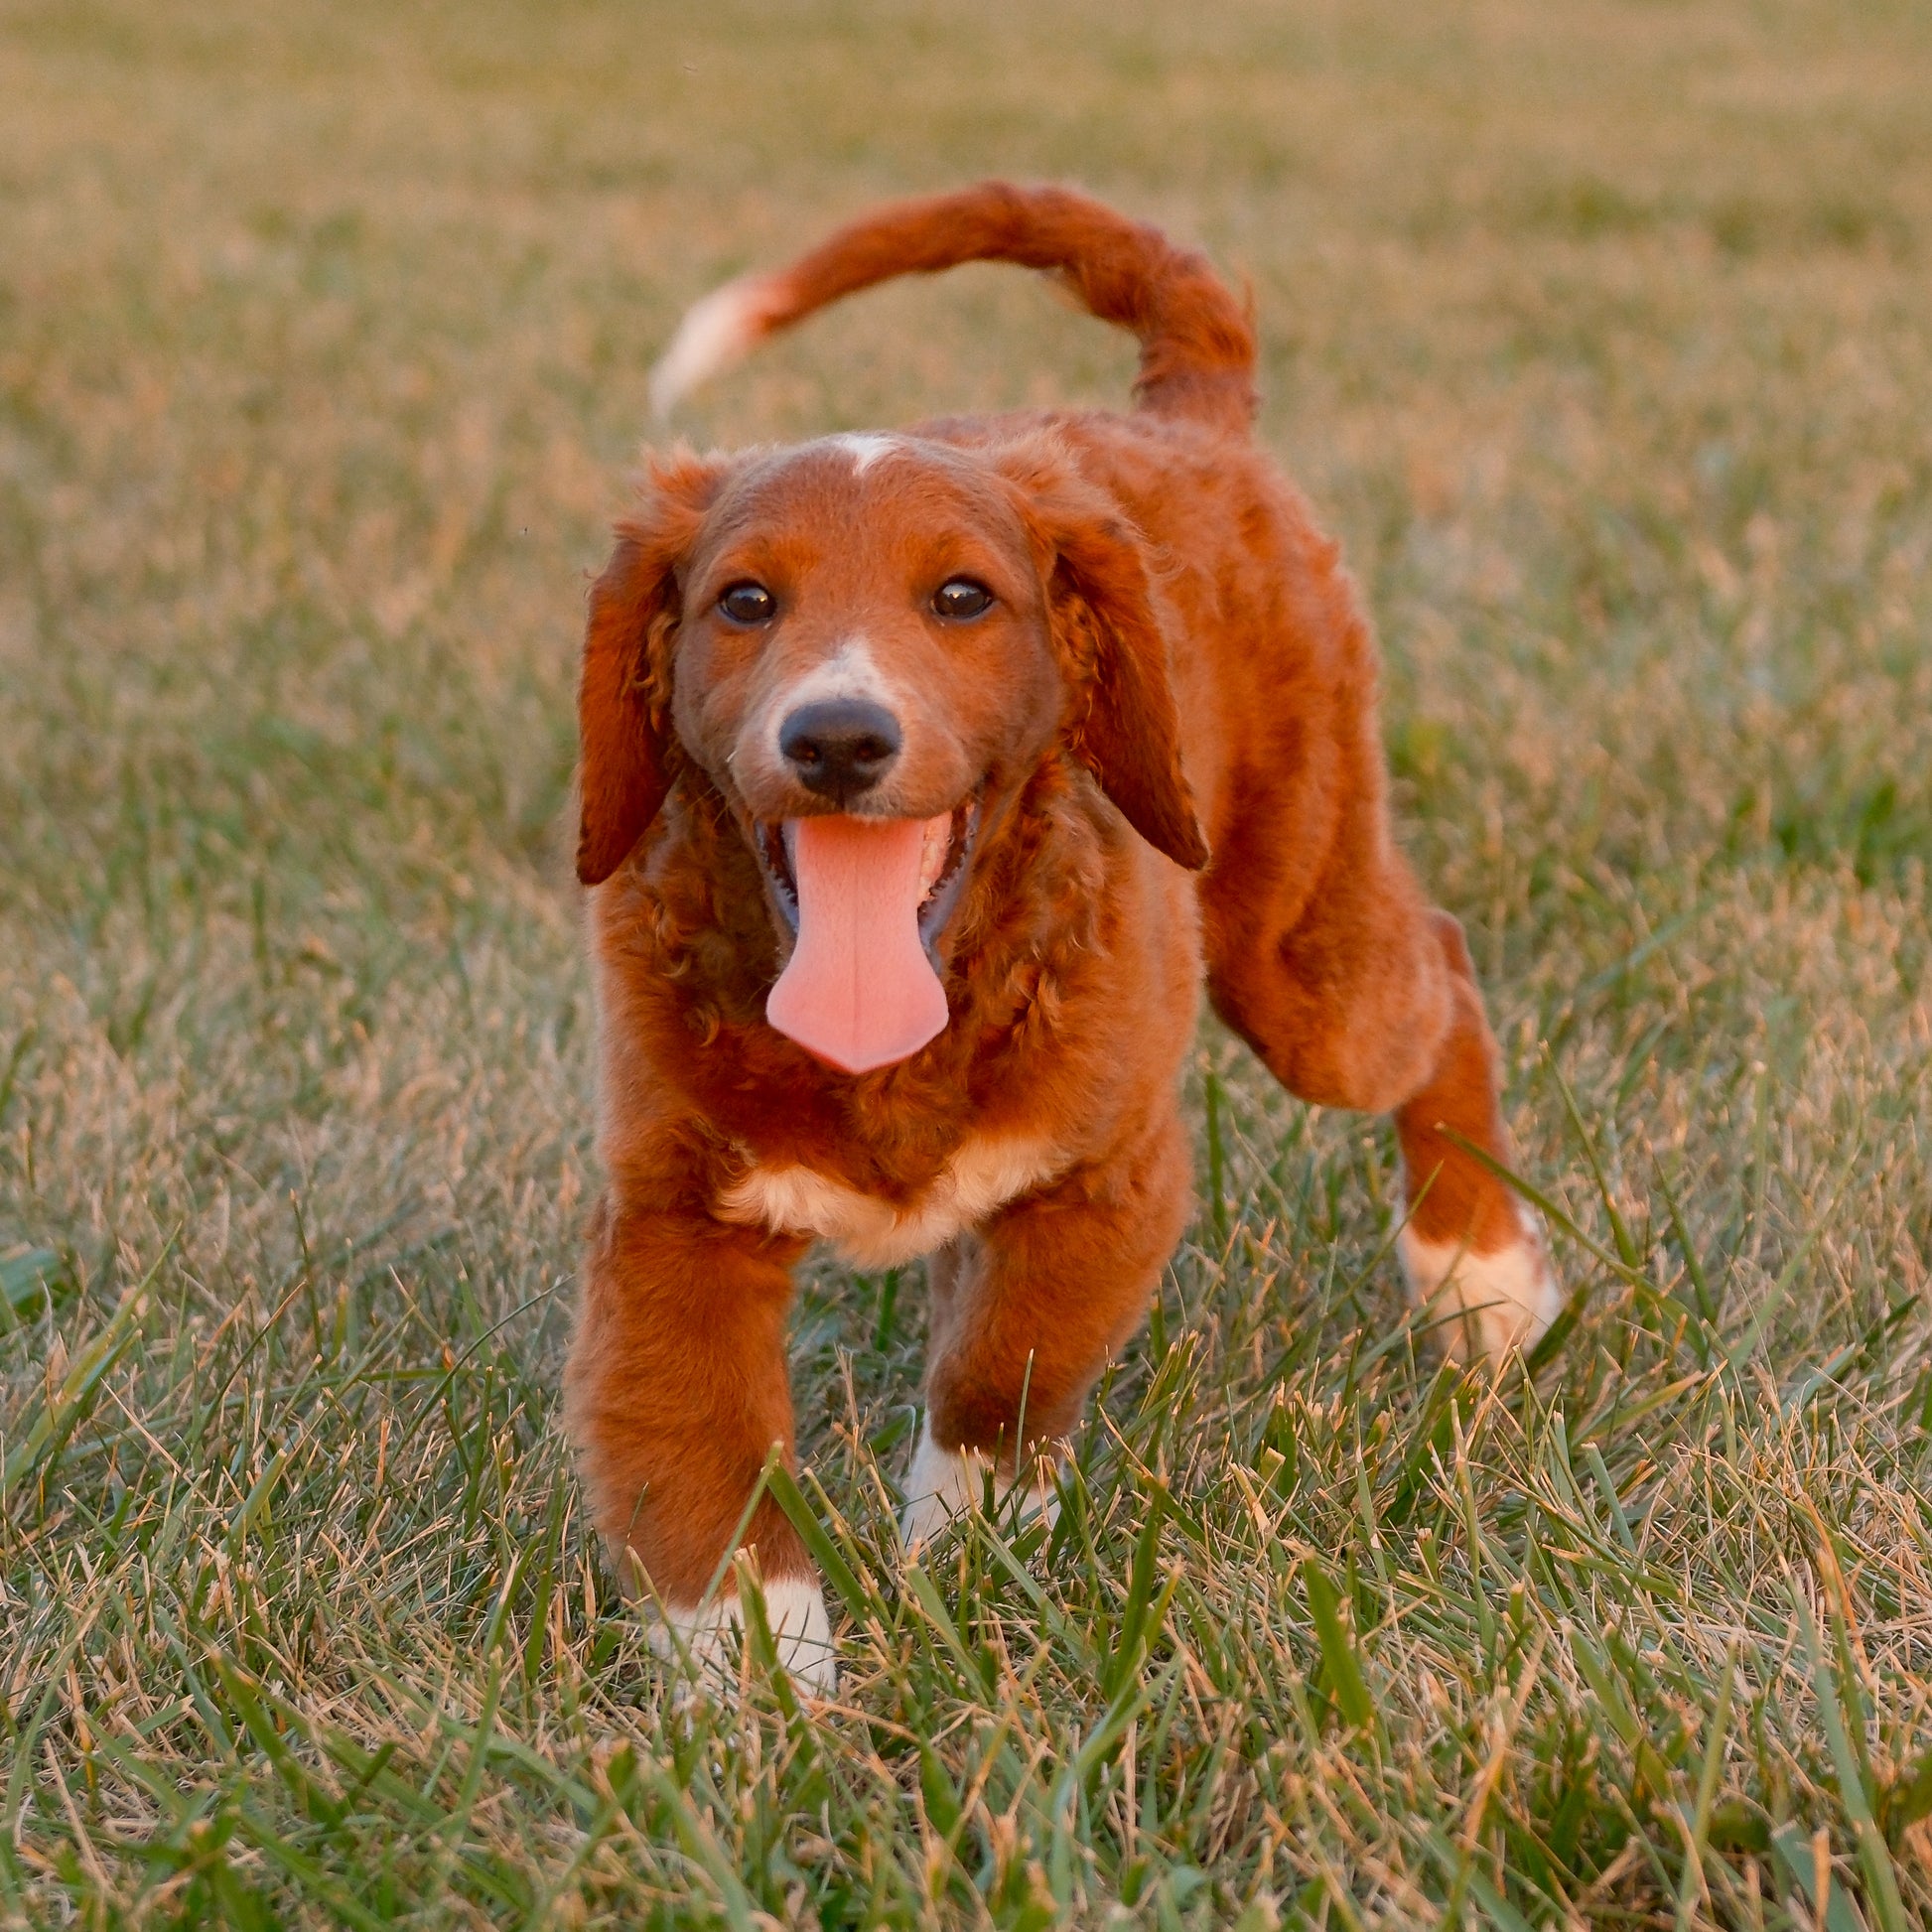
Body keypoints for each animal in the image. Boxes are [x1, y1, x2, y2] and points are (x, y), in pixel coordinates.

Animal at [564, 184, 1561, 1692]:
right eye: (743, 602)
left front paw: (957, 1561)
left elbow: (998, 1378)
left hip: (1293, 937)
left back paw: (1477, 1280)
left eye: (961, 598)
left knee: (1435, 975)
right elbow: (700, 1461)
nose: (838, 737)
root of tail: (1185, 417)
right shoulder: (673, 1216)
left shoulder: (1108, 1176)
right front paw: (761, 1691)